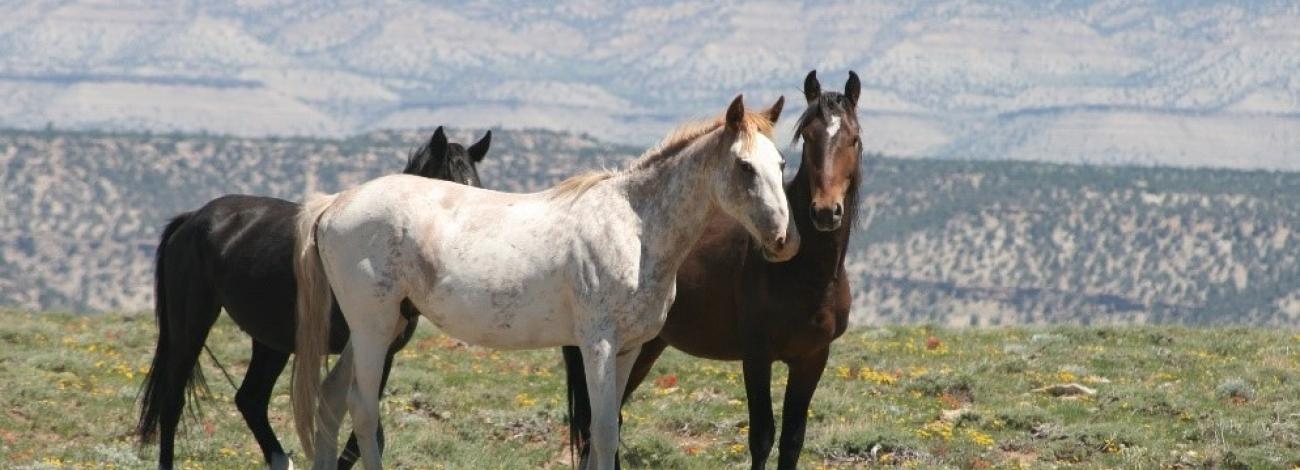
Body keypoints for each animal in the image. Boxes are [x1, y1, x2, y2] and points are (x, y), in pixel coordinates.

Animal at [135, 128, 491, 470]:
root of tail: (193, 218)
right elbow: (366, 427)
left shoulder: (384, 352)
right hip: (191, 325)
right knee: (173, 400)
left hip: (272, 340)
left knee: (250, 399)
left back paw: (281, 461)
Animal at [295, 96, 795, 470]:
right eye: (744, 167)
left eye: (781, 162)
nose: (783, 241)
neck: (634, 227)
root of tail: (334, 203)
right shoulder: (597, 345)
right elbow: (603, 432)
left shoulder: (629, 349)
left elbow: (603, 430)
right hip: (374, 329)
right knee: (362, 409)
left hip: (379, 329)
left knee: (330, 401)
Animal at [561, 69, 857, 470]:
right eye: (808, 138)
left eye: (854, 139)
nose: (826, 212)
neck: (807, 276)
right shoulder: (757, 355)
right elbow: (762, 436)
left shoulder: (812, 358)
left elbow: (793, 440)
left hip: (642, 347)